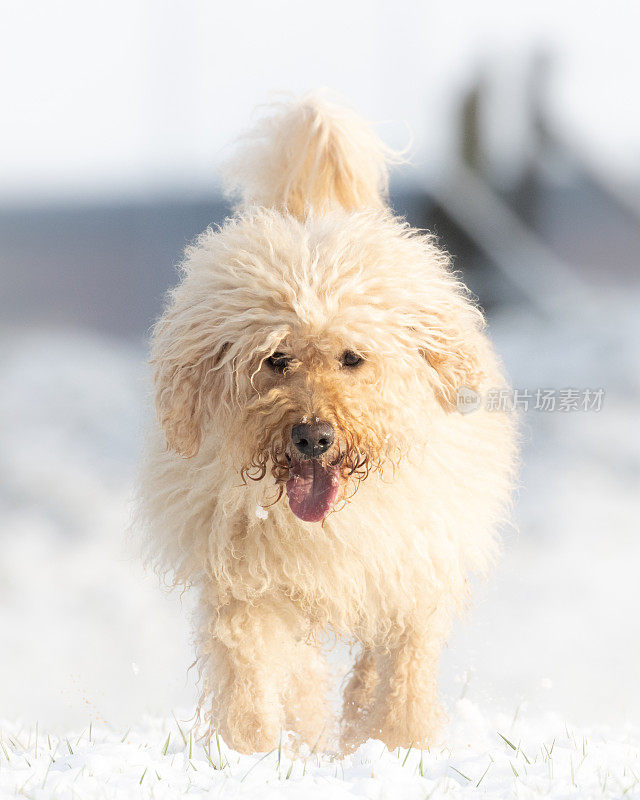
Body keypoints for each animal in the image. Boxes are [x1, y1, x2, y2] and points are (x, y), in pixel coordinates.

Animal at [138, 95, 516, 756]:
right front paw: (255, 755)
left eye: (352, 357)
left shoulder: (414, 568)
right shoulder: (248, 588)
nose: (313, 437)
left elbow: (402, 668)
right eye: (275, 359)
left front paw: (397, 745)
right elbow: (255, 677)